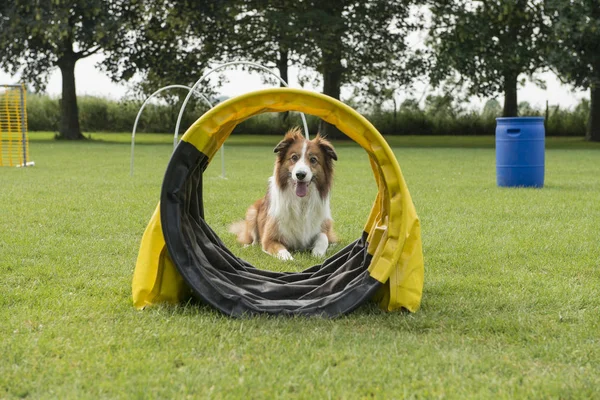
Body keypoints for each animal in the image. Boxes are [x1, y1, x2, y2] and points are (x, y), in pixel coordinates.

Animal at [230, 126, 338, 260]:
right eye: (294, 157)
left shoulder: (323, 226)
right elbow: (282, 251)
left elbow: (324, 237)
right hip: (252, 213)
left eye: (313, 159)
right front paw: (290, 259)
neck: (300, 202)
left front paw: (318, 253)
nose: (300, 174)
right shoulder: (269, 238)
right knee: (253, 239)